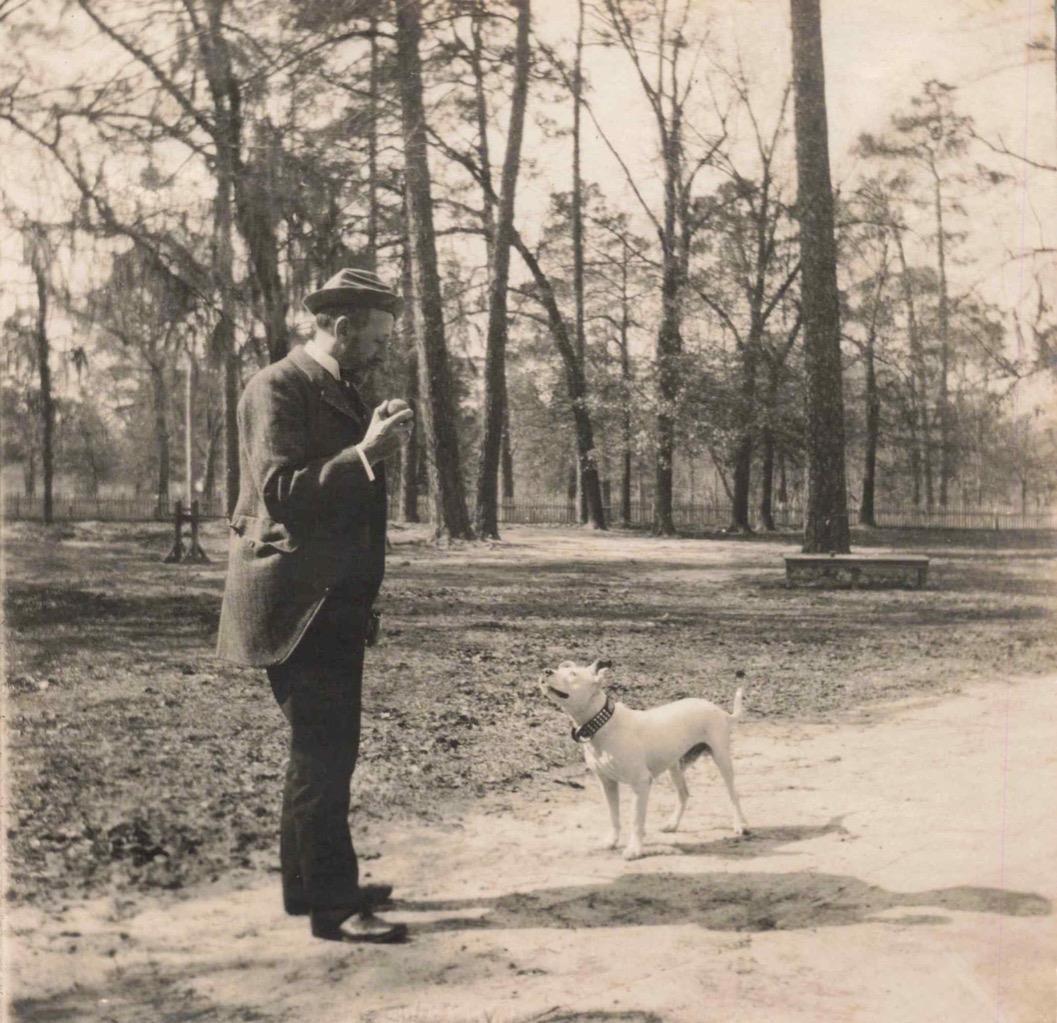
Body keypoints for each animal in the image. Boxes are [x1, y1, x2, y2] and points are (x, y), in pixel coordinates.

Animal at [539, 659, 749, 860]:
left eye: (572, 674)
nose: (546, 671)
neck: (602, 723)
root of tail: (721, 712)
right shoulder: (607, 783)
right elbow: (613, 815)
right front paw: (612, 841)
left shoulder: (640, 783)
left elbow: (635, 820)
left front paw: (634, 850)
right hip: (674, 766)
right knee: (684, 794)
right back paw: (672, 824)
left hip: (722, 758)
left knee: (733, 794)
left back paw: (741, 824)